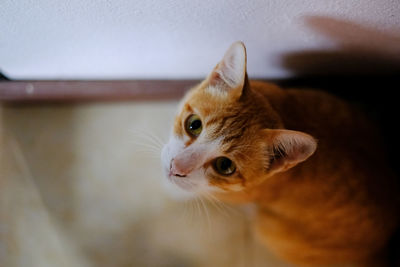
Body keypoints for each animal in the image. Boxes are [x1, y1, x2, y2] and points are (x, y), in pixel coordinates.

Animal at [160, 42, 400, 267]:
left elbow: (195, 191)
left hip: (269, 229)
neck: (282, 111)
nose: (175, 167)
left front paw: (177, 190)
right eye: (194, 125)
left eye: (224, 166)